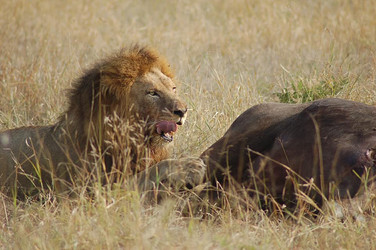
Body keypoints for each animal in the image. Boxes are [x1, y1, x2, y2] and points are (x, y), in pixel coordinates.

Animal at [0, 46, 206, 198]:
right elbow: (146, 174)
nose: (183, 111)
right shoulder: (89, 192)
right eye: (152, 93)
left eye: (173, 89)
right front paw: (189, 166)